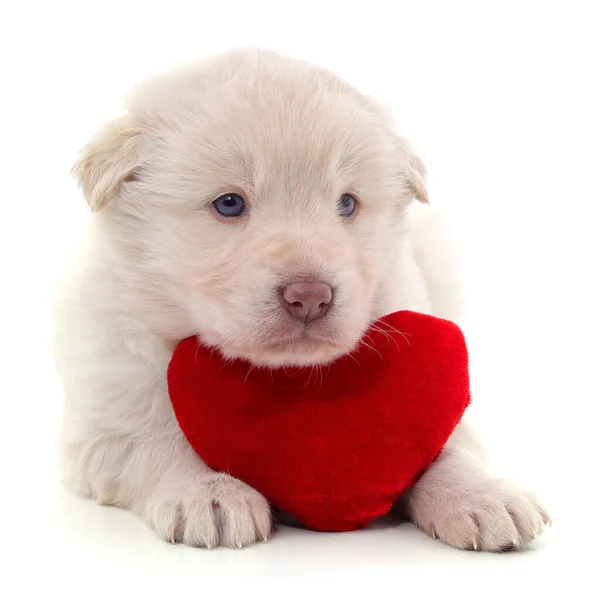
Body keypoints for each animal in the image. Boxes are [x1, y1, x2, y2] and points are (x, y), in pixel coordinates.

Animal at [53, 49, 548, 552]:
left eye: (347, 203)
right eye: (229, 203)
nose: (310, 298)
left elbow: (449, 445)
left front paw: (482, 496)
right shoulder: (101, 415)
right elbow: (153, 439)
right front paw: (209, 494)